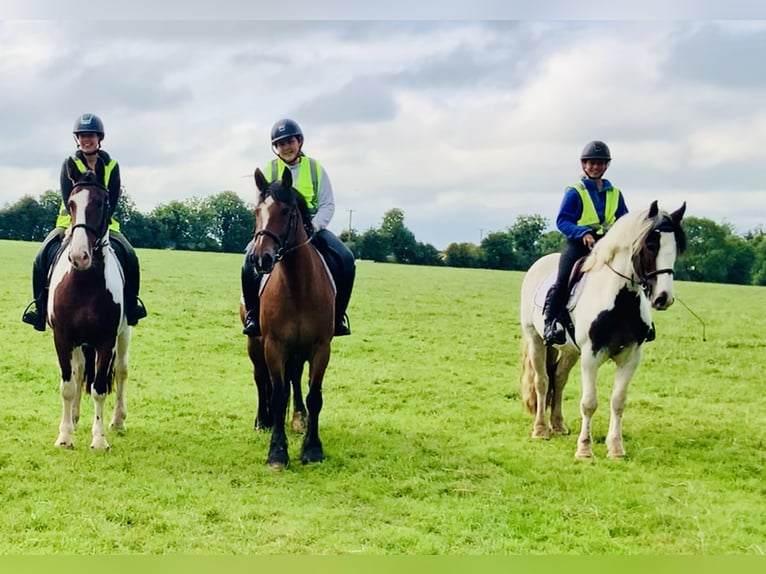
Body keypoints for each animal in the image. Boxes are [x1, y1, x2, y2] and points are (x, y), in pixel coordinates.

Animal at [47, 169, 130, 452]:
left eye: (101, 203)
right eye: (71, 204)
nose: (79, 256)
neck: (84, 282)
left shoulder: (106, 341)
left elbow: (100, 388)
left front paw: (100, 439)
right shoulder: (62, 338)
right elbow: (68, 385)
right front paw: (64, 436)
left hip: (123, 334)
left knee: (122, 371)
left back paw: (118, 420)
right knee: (80, 371)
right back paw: (73, 417)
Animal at [240, 168, 336, 472]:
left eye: (286, 211)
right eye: (256, 211)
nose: (260, 259)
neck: (297, 286)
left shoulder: (320, 347)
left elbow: (314, 395)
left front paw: (312, 448)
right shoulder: (274, 345)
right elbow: (278, 395)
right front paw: (277, 452)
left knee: (294, 377)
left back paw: (299, 419)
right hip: (255, 345)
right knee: (261, 379)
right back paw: (263, 420)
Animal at [520, 202, 688, 460]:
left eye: (675, 247)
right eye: (651, 245)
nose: (663, 298)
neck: (620, 301)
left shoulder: (630, 356)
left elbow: (618, 401)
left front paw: (616, 448)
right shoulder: (591, 355)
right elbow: (589, 402)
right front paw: (584, 449)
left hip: (570, 351)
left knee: (558, 379)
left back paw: (558, 425)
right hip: (536, 340)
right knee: (542, 381)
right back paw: (541, 430)